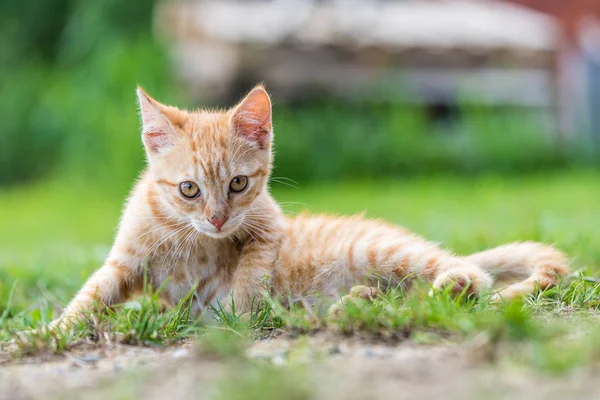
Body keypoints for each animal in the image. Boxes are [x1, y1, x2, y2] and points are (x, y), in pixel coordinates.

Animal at [54, 86, 568, 328]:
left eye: (238, 184)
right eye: (188, 190)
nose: (218, 219)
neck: (190, 237)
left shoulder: (267, 223)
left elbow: (250, 274)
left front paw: (239, 313)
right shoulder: (124, 262)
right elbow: (91, 295)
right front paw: (53, 332)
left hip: (380, 252)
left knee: (470, 275)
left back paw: (448, 286)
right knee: (406, 297)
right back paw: (357, 303)